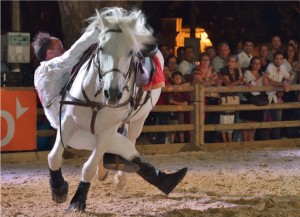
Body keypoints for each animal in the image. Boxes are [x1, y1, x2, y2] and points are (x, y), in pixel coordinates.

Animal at [47, 8, 186, 212]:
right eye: (101, 48)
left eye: (131, 52)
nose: (113, 93)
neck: (97, 98)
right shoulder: (68, 122)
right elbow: (54, 157)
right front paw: (59, 189)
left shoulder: (108, 130)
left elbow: (88, 167)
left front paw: (78, 201)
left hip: (139, 119)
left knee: (130, 141)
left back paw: (124, 177)